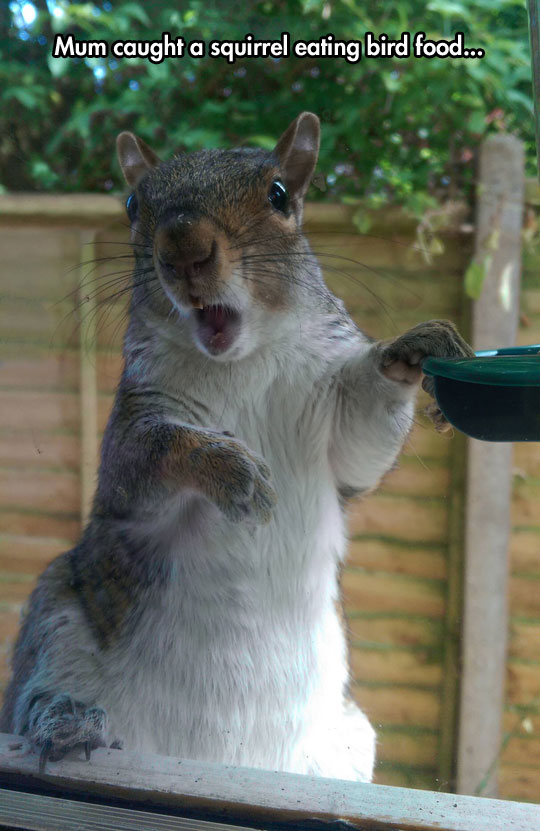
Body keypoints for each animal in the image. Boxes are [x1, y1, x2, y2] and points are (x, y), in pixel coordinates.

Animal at [0, 112, 474, 780]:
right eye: (133, 204)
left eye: (278, 195)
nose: (184, 249)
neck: (240, 362)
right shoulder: (136, 420)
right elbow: (147, 458)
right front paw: (230, 469)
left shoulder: (335, 418)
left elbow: (361, 440)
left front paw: (414, 348)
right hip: (59, 615)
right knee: (39, 691)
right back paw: (65, 722)